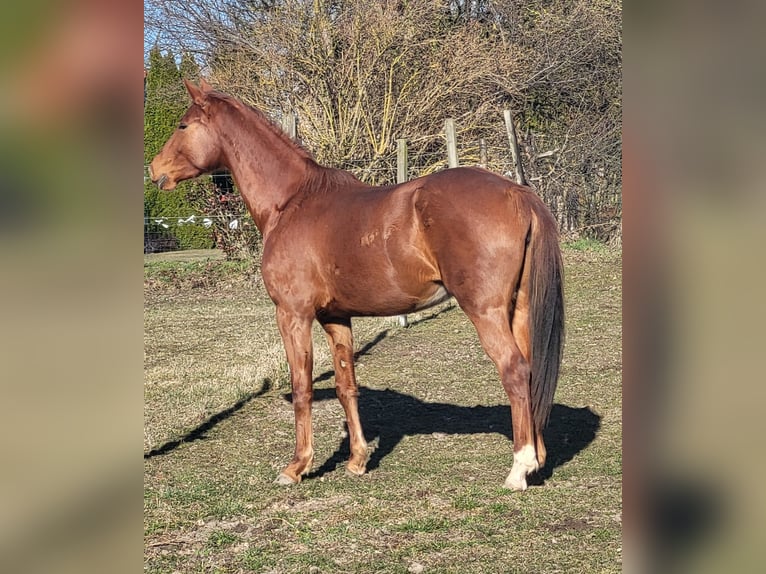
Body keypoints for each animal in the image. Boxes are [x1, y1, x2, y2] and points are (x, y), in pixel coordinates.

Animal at [149, 80, 564, 491]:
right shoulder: (336, 318)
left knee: (514, 370)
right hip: (519, 309)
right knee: (530, 371)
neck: (292, 203)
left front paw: (297, 466)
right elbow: (346, 385)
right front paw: (358, 460)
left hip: (486, 311)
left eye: (183, 125)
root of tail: (517, 192)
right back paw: (538, 459)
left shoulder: (293, 315)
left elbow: (302, 386)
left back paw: (519, 469)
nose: (155, 169)